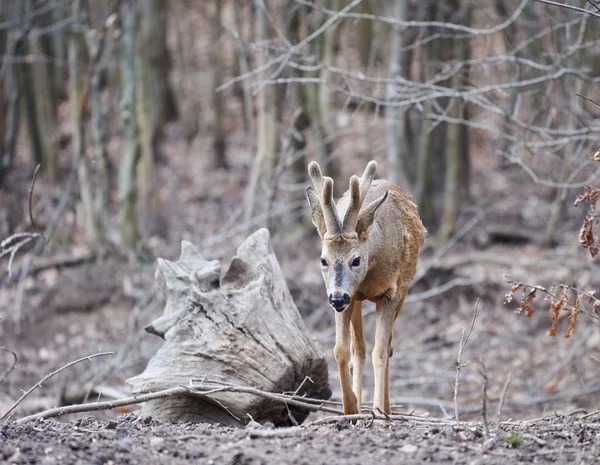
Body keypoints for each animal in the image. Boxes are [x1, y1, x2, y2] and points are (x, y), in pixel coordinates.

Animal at [304, 159, 426, 414]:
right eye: (323, 260)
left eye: (356, 260)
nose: (337, 298)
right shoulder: (349, 298)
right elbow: (341, 350)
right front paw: (350, 407)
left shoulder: (391, 293)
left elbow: (379, 352)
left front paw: (379, 413)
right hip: (356, 301)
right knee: (358, 350)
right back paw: (360, 406)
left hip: (403, 289)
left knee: (387, 347)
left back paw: (386, 409)